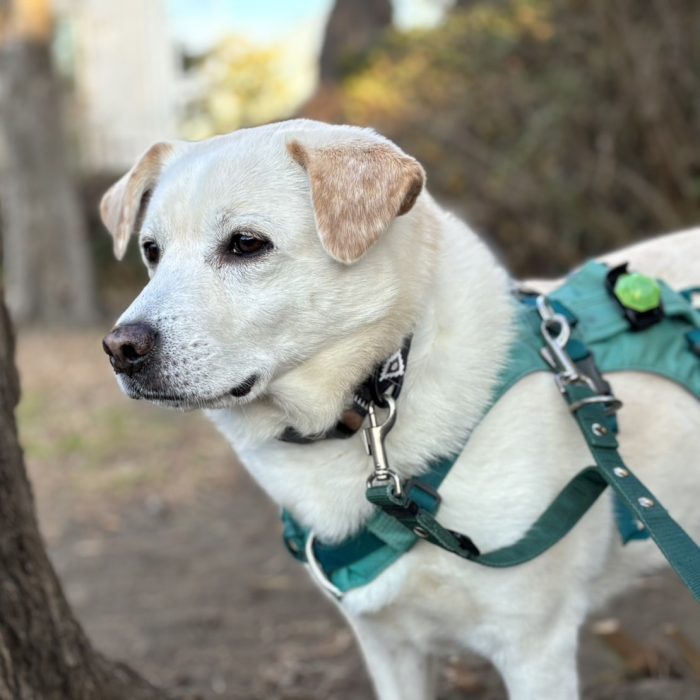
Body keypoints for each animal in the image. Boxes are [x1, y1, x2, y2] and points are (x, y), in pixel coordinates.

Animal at [100, 117, 700, 696]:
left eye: (246, 244)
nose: (120, 349)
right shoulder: (388, 645)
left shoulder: (534, 648)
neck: (380, 387)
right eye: (151, 252)